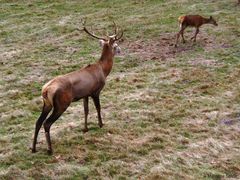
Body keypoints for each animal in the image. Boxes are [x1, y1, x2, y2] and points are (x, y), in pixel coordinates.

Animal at [31, 22, 124, 155]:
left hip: (47, 104)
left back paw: (33, 148)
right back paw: (50, 149)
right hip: (61, 104)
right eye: (115, 44)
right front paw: (101, 124)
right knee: (46, 123)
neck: (103, 70)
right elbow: (98, 108)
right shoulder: (95, 91)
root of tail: (45, 90)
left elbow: (86, 110)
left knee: (38, 121)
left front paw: (85, 128)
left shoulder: (85, 94)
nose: (120, 50)